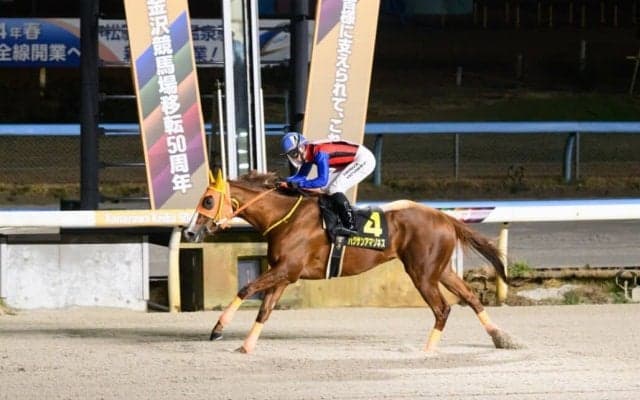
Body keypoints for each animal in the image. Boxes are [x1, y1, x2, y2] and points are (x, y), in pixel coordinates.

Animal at [183, 170, 519, 354]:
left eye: (208, 201)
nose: (189, 231)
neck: (285, 217)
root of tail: (445, 217)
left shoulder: (286, 269)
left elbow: (245, 288)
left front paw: (217, 329)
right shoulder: (284, 274)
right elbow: (264, 310)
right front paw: (245, 346)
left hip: (422, 273)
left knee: (443, 309)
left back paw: (426, 351)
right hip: (441, 270)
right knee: (471, 297)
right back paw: (502, 338)